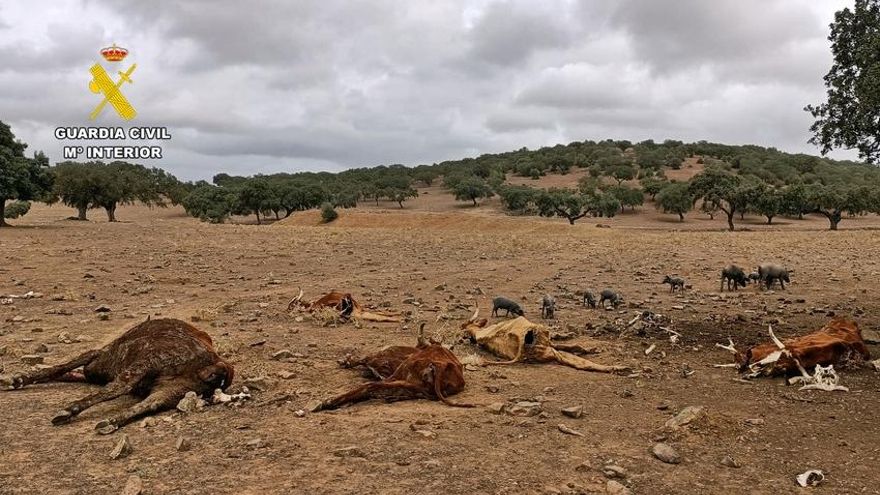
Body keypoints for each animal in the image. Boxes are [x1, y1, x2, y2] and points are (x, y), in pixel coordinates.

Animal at [0, 318, 234, 434]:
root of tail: (218, 364)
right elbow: (70, 373)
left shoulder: (98, 355)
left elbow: (63, 367)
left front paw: (16, 380)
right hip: (173, 390)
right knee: (150, 403)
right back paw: (109, 422)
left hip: (145, 366)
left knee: (119, 388)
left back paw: (68, 412)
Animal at [315, 323, 473, 410]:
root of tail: (441, 365)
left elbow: (363, 361)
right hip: (414, 385)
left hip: (400, 376)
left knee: (370, 386)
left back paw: (326, 403)